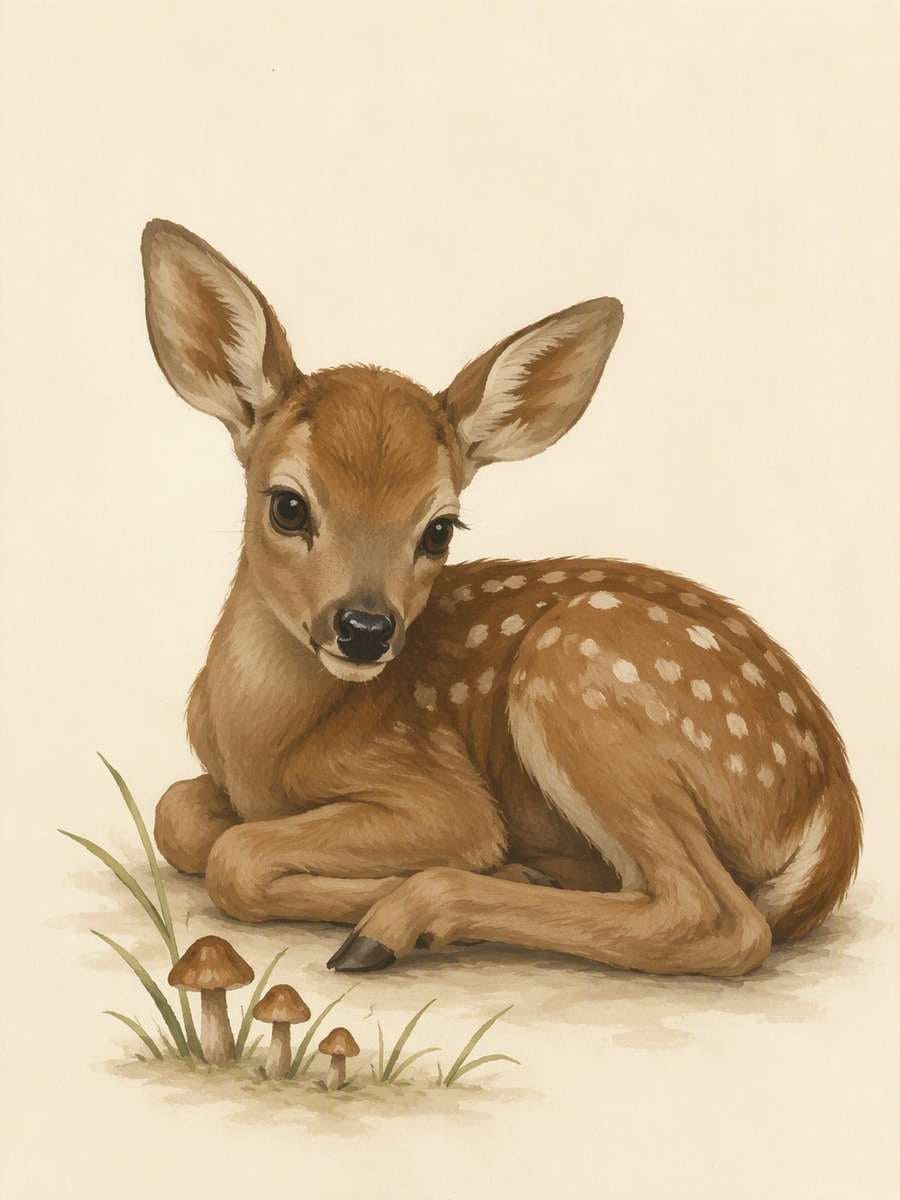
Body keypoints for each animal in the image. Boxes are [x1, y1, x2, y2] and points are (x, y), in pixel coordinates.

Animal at [142, 219, 861, 978]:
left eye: (439, 528)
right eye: (287, 505)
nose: (366, 628)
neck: (262, 747)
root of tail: (833, 794)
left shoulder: (440, 792)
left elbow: (237, 857)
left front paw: (434, 881)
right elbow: (176, 814)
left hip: (577, 672)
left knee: (719, 917)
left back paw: (404, 919)